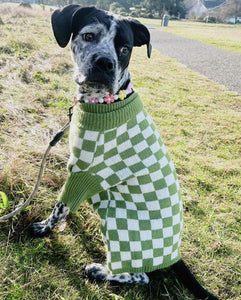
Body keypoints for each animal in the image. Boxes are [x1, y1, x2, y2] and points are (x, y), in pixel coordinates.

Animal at [30, 5, 218, 300]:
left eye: (125, 49)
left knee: (141, 275)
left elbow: (60, 207)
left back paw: (100, 271)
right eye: (89, 35)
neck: (105, 102)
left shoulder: (81, 174)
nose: (105, 63)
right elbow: (68, 206)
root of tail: (174, 256)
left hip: (118, 224)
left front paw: (44, 228)